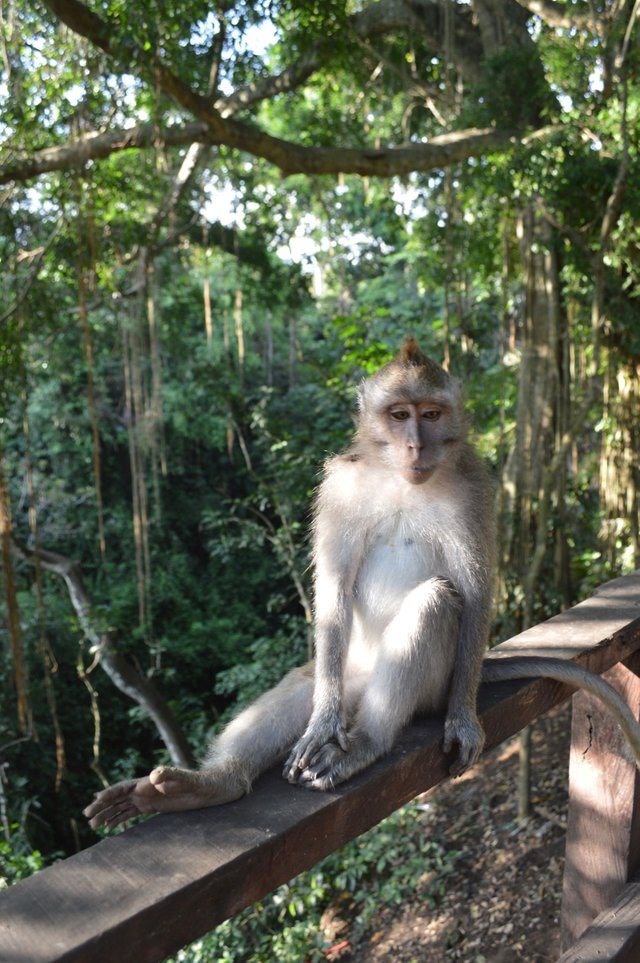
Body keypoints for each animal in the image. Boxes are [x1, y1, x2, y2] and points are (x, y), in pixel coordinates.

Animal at [84, 336, 640, 832]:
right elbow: (333, 589)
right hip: (346, 670)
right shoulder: (339, 487)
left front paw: (463, 719)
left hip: (438, 681)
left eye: (431, 414)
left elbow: (476, 592)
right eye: (398, 415)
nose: (415, 444)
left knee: (435, 603)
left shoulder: (475, 490)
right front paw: (319, 724)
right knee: (306, 687)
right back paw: (213, 784)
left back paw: (368, 741)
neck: (402, 480)